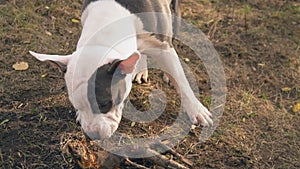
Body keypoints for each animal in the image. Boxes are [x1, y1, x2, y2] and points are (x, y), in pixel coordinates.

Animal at [29, 0, 212, 139]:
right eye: (76, 105)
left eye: (105, 104)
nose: (92, 135)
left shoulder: (163, 47)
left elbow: (181, 81)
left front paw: (197, 111)